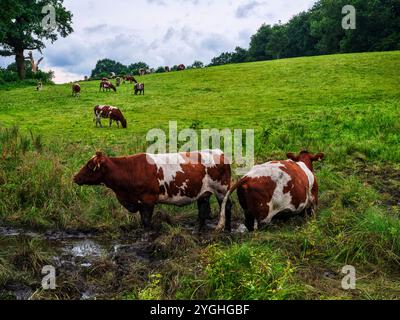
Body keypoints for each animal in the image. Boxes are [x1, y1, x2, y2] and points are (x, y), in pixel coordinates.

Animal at [73, 149, 233, 231]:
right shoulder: (137, 202)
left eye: (90, 166)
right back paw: (199, 229)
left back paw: (224, 228)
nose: (75, 177)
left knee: (226, 206)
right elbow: (142, 220)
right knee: (203, 208)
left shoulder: (148, 200)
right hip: (204, 191)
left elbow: (146, 221)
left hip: (221, 190)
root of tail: (218, 151)